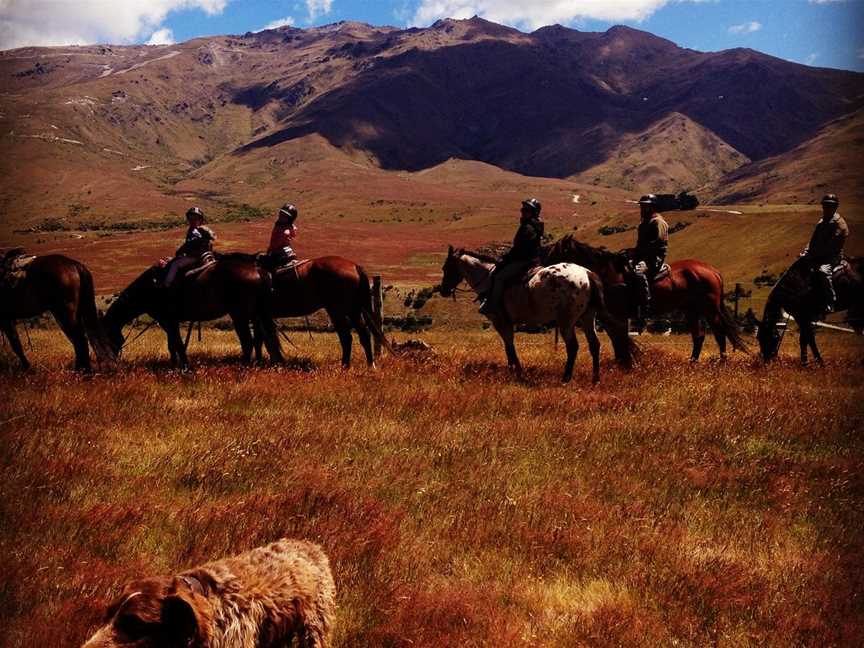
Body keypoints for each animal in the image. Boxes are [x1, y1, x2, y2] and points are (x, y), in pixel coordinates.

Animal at [102, 254, 280, 370]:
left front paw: (185, 368)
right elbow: (172, 345)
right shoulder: (167, 323)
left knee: (248, 342)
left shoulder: (169, 321)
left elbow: (178, 345)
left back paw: (244, 368)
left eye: (108, 338)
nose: (112, 362)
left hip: (240, 315)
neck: (150, 288)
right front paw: (173, 366)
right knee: (259, 340)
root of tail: (257, 270)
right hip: (255, 315)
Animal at [256, 256, 392, 370]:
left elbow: (262, 340)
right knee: (363, 334)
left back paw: (346, 366)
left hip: (337, 311)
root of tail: (354, 266)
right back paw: (368, 365)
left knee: (347, 337)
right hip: (353, 310)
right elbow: (265, 339)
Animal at [438, 246, 636, 382]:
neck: (488, 278)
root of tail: (587, 274)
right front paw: (514, 369)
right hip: (587, 317)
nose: (444, 290)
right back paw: (595, 378)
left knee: (573, 347)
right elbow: (508, 346)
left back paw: (566, 378)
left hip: (566, 321)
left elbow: (508, 345)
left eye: (446, 268)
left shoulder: (500, 321)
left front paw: (516, 371)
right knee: (594, 344)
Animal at [552, 235, 744, 362]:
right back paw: (693, 362)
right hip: (692, 310)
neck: (610, 273)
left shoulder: (618, 314)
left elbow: (620, 338)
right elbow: (618, 338)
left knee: (719, 332)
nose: (549, 268)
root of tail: (713, 271)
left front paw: (627, 361)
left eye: (556, 252)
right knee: (699, 336)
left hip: (709, 309)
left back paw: (722, 361)